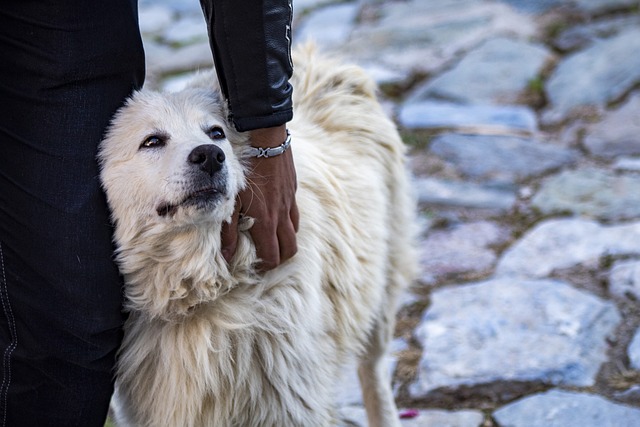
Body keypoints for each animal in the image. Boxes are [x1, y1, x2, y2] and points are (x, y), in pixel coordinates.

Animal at [98, 46, 418, 427]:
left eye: (216, 132)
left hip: (380, 291)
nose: (210, 155)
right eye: (152, 141)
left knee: (374, 370)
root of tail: (315, 58)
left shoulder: (292, 404)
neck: (202, 291)